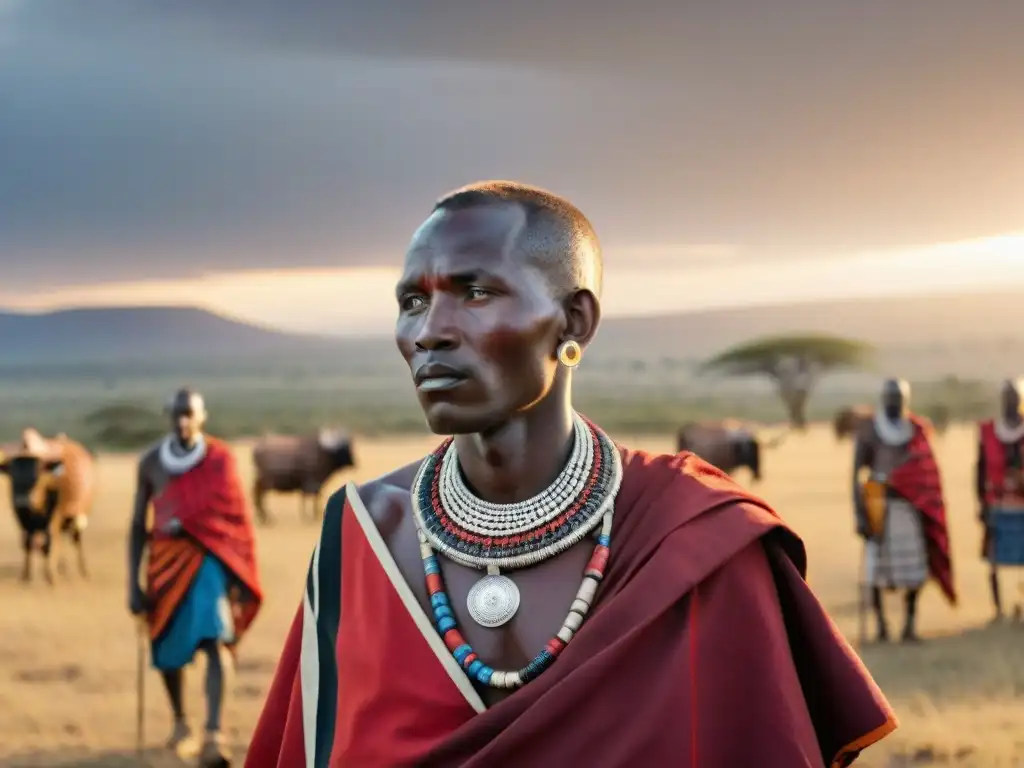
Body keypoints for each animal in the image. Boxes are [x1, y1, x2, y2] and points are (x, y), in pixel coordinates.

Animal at [0, 430, 95, 585]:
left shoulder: (53, 518)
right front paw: (26, 576)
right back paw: (62, 567)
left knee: (75, 540)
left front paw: (50, 577)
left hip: (75, 517)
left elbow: (48, 545)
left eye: (37, 474)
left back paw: (83, 571)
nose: (22, 500)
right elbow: (27, 543)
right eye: (12, 475)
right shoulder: (22, 519)